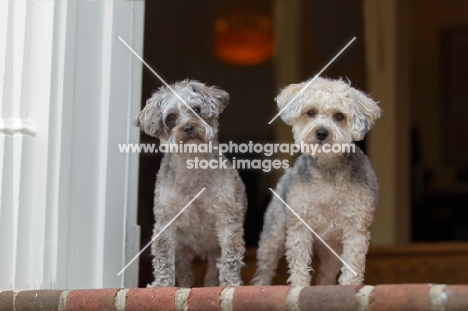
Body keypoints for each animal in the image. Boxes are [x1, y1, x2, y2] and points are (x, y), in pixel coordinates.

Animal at [133, 80, 247, 288]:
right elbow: (163, 258)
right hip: (182, 251)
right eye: (171, 117)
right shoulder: (165, 222)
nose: (188, 128)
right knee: (185, 272)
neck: (192, 165)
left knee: (212, 271)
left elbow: (230, 257)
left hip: (213, 248)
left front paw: (230, 284)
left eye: (197, 109)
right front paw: (161, 285)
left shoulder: (227, 219)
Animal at [252, 77, 380, 286]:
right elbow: (299, 262)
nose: (321, 132)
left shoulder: (356, 227)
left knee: (326, 273)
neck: (327, 170)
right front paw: (299, 285)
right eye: (310, 112)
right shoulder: (300, 225)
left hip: (332, 250)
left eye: (339, 116)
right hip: (273, 236)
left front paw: (349, 285)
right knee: (264, 269)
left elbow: (353, 262)